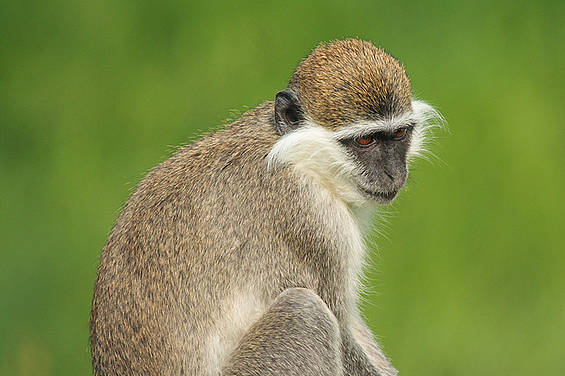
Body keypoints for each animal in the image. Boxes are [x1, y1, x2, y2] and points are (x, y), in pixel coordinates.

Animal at [89, 39, 440, 376]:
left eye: (399, 134)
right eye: (365, 141)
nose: (394, 173)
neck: (294, 152)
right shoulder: (310, 218)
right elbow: (340, 324)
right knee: (304, 310)